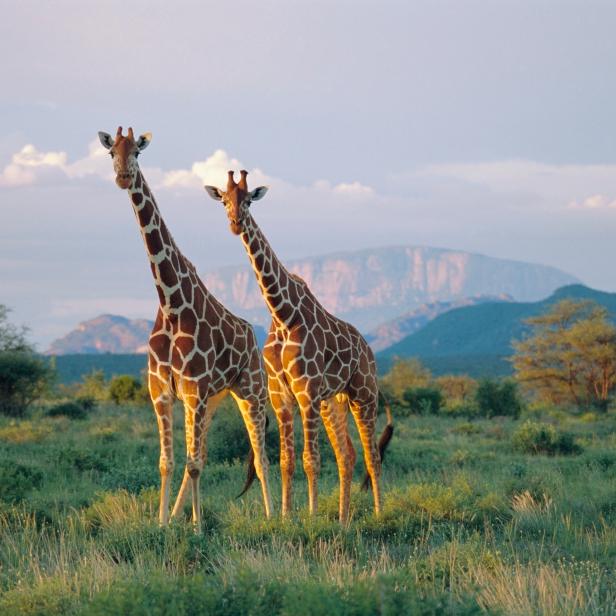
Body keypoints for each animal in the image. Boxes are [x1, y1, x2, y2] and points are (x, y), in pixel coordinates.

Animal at [98, 126, 272, 528]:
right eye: (112, 152)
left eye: (138, 152)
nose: (123, 177)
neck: (171, 302)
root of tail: (251, 334)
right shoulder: (162, 390)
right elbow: (169, 462)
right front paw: (163, 524)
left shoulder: (194, 390)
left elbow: (192, 464)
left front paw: (197, 527)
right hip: (215, 399)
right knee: (204, 454)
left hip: (251, 390)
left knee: (261, 457)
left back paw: (278, 516)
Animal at [205, 170, 392, 524]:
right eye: (224, 200)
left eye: (248, 200)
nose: (235, 223)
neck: (282, 314)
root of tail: (368, 348)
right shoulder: (281, 395)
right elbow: (287, 460)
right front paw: (285, 516)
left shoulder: (306, 392)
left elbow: (310, 459)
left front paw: (312, 515)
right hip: (333, 401)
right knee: (347, 453)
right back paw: (344, 519)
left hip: (363, 394)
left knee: (372, 454)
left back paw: (377, 513)